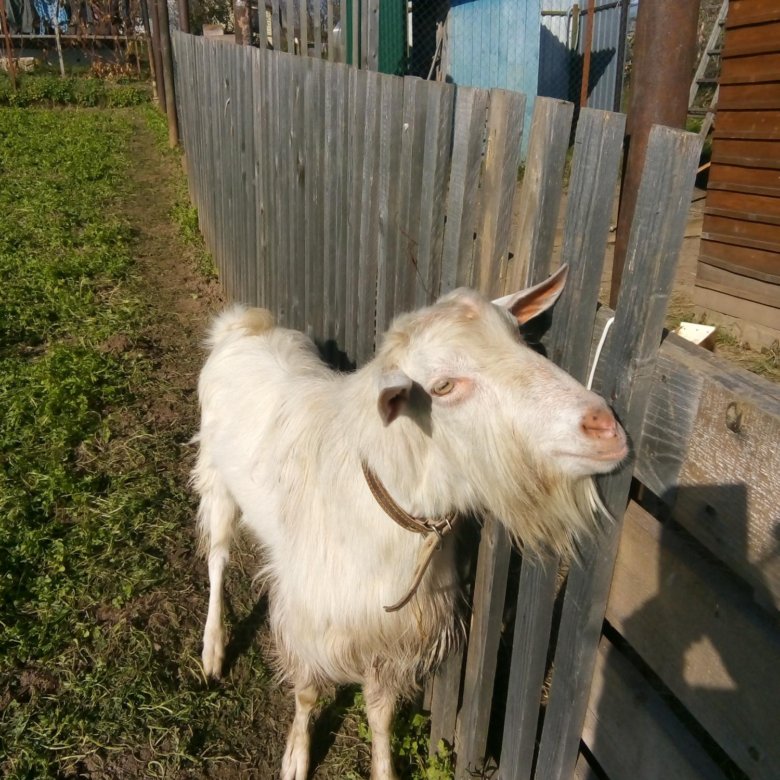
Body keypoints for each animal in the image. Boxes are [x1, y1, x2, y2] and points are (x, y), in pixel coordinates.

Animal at [193, 266, 628, 776]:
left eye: (519, 337)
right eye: (442, 388)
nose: (604, 426)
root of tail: (243, 325)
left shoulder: (394, 633)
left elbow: (380, 712)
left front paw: (384, 768)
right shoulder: (312, 617)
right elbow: (307, 691)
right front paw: (296, 757)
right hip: (216, 477)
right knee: (218, 557)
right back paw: (212, 649)